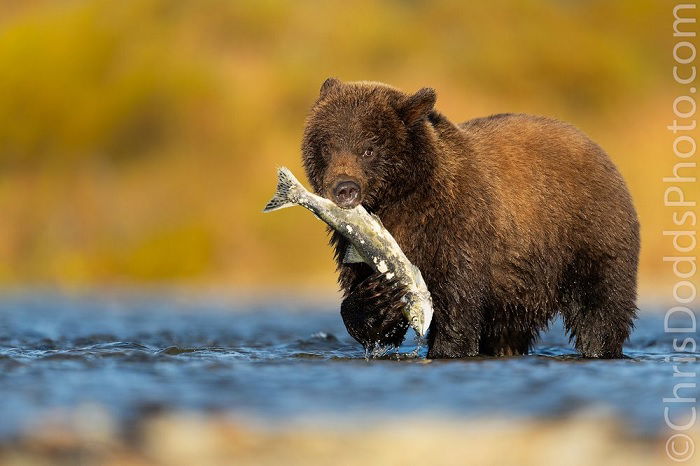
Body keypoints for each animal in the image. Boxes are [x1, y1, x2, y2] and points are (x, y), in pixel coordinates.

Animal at [300, 78, 640, 358]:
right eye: (327, 146)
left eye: (369, 148)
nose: (344, 188)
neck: (397, 203)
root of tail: (598, 149)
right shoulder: (352, 240)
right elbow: (368, 311)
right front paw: (377, 298)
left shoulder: (457, 226)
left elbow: (458, 302)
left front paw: (447, 348)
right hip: (520, 288)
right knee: (509, 330)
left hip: (586, 235)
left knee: (601, 307)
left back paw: (600, 348)